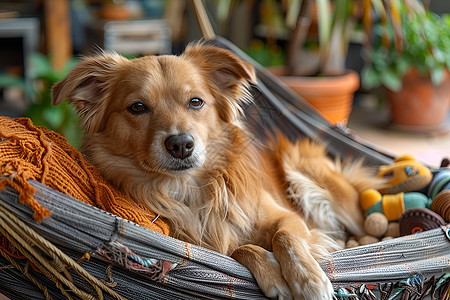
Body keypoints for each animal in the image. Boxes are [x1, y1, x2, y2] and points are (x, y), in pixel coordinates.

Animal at [51, 43, 378, 298]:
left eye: (196, 102)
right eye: (137, 107)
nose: (181, 144)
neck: (189, 188)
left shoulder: (287, 217)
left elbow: (285, 237)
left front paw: (308, 281)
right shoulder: (205, 246)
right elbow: (237, 249)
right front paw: (273, 274)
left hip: (305, 171)